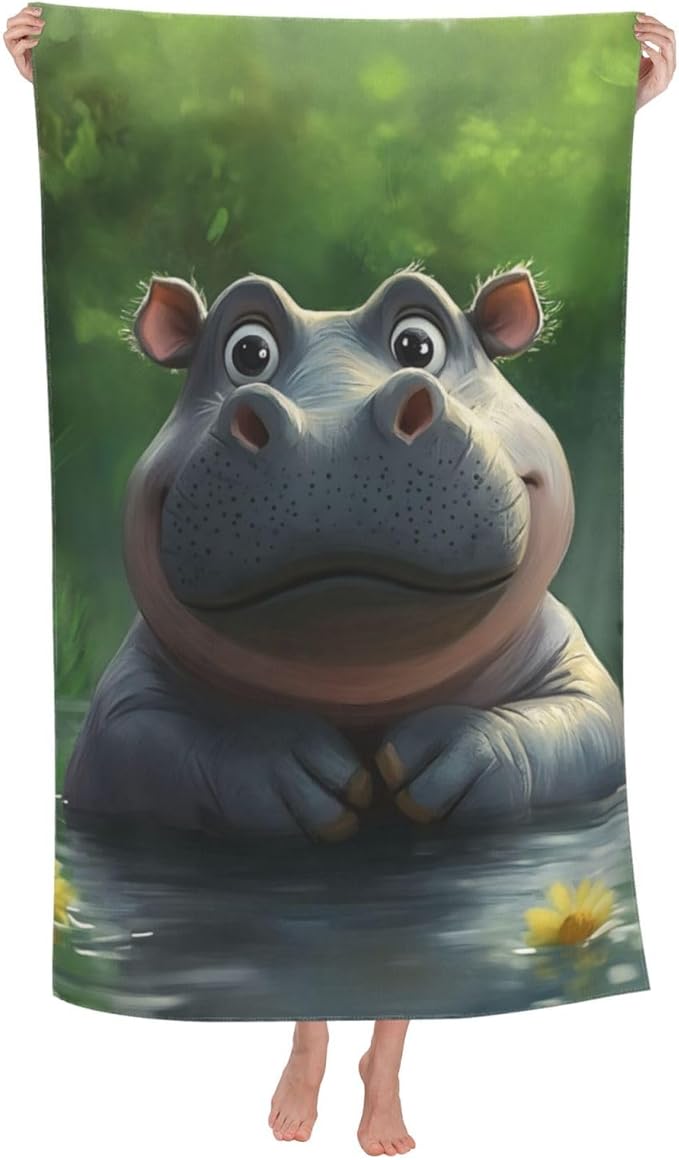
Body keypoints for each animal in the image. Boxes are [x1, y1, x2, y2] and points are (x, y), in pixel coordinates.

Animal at [63, 262, 624, 840]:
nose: (330, 433)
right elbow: (145, 741)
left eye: (418, 343)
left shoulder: (575, 666)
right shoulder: (120, 709)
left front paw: (445, 751)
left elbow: (586, 723)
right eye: (247, 352)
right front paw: (291, 764)